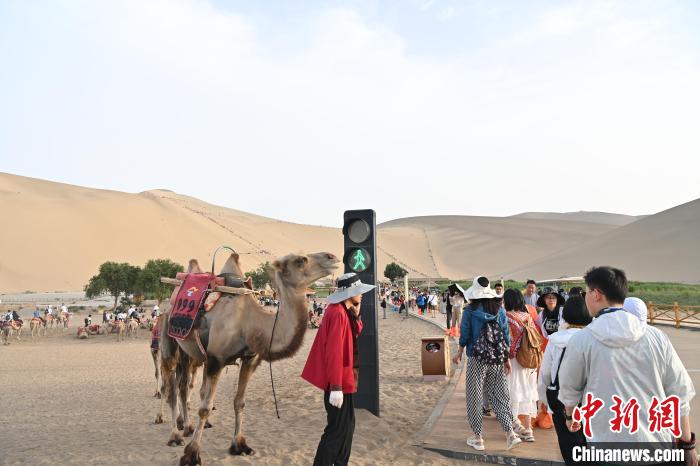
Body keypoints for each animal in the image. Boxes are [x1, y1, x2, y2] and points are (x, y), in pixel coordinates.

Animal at [162, 251, 342, 466]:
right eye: (301, 260)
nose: (332, 257)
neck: (250, 322)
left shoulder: (249, 360)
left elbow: (239, 402)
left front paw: (240, 445)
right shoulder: (216, 359)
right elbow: (205, 407)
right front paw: (191, 454)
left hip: (193, 354)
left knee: (187, 387)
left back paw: (188, 426)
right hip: (170, 339)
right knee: (174, 388)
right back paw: (176, 435)